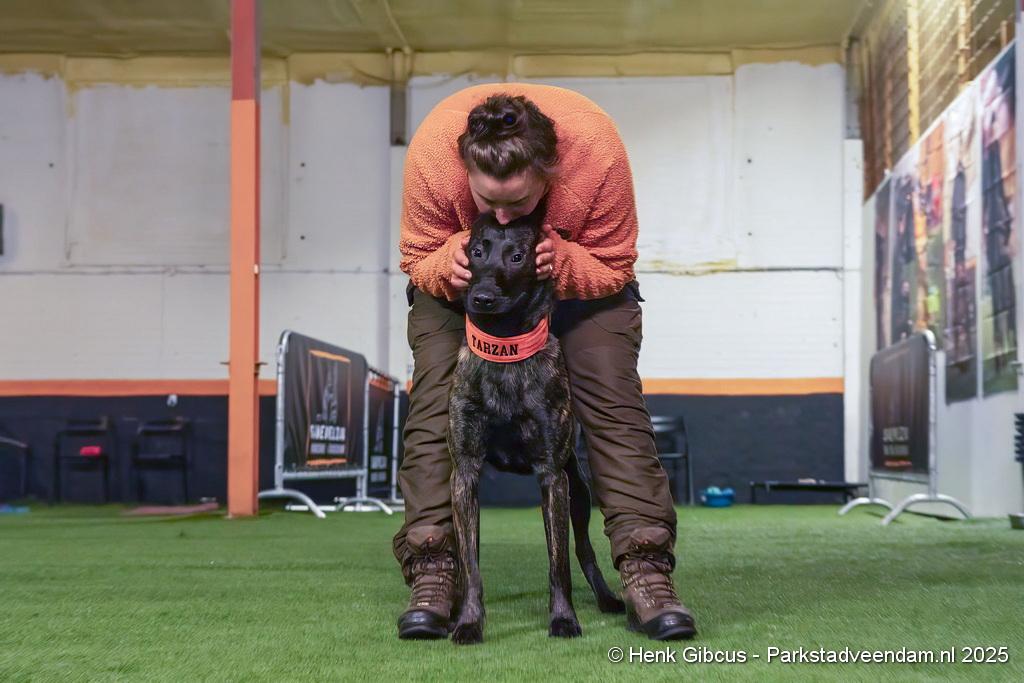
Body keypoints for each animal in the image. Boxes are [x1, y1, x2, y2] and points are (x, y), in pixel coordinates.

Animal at [447, 205, 624, 645]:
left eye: (518, 256)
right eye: (476, 251)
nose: (482, 297)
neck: (504, 350)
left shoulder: (551, 476)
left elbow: (558, 562)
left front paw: (563, 618)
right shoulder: (465, 474)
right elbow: (470, 562)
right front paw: (468, 621)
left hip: (578, 491)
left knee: (582, 550)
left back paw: (607, 598)